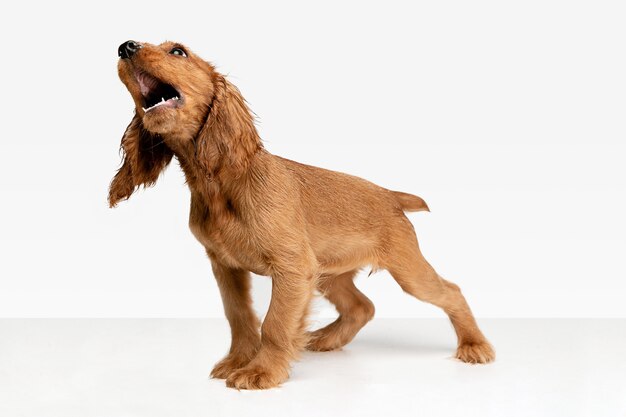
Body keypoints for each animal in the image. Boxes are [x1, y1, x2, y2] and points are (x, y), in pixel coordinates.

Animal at [109, 40, 494, 388]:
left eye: (178, 51)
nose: (125, 47)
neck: (219, 184)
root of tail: (389, 195)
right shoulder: (226, 266)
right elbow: (239, 316)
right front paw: (238, 360)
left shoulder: (292, 267)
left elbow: (275, 324)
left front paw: (261, 371)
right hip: (330, 273)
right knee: (362, 306)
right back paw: (326, 339)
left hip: (407, 269)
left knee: (452, 291)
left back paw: (474, 345)